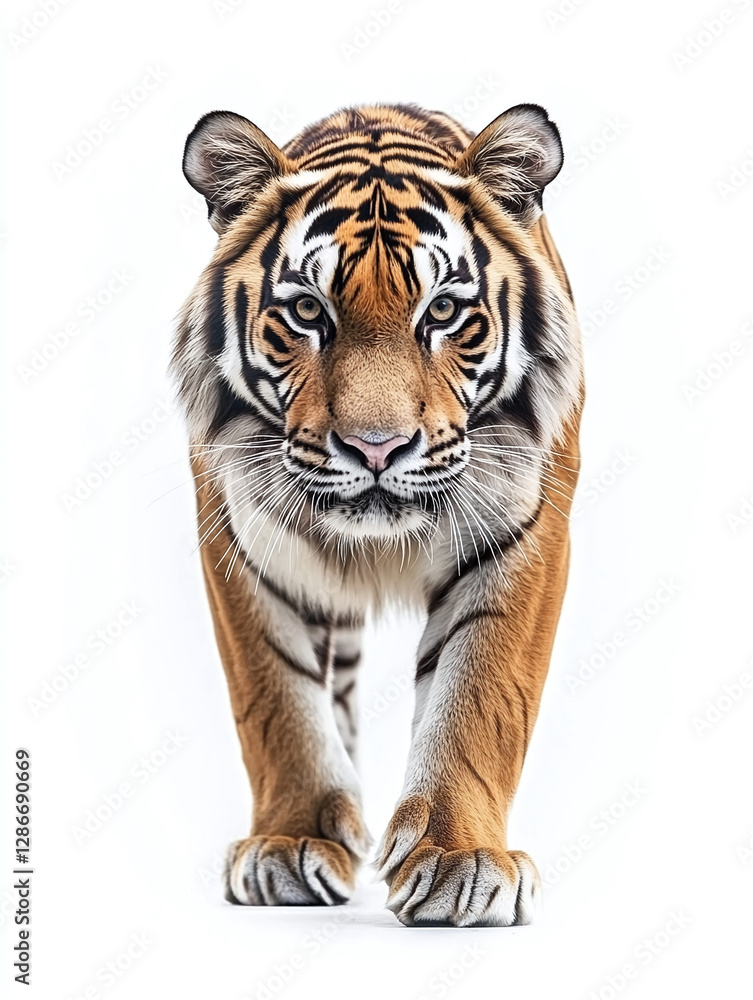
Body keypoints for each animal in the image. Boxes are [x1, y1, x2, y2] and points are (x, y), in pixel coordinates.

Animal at [172, 101, 583, 927]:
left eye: (444, 311)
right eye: (307, 311)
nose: (375, 446)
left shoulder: (524, 530)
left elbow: (478, 694)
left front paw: (460, 860)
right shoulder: (238, 533)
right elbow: (277, 699)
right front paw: (289, 842)